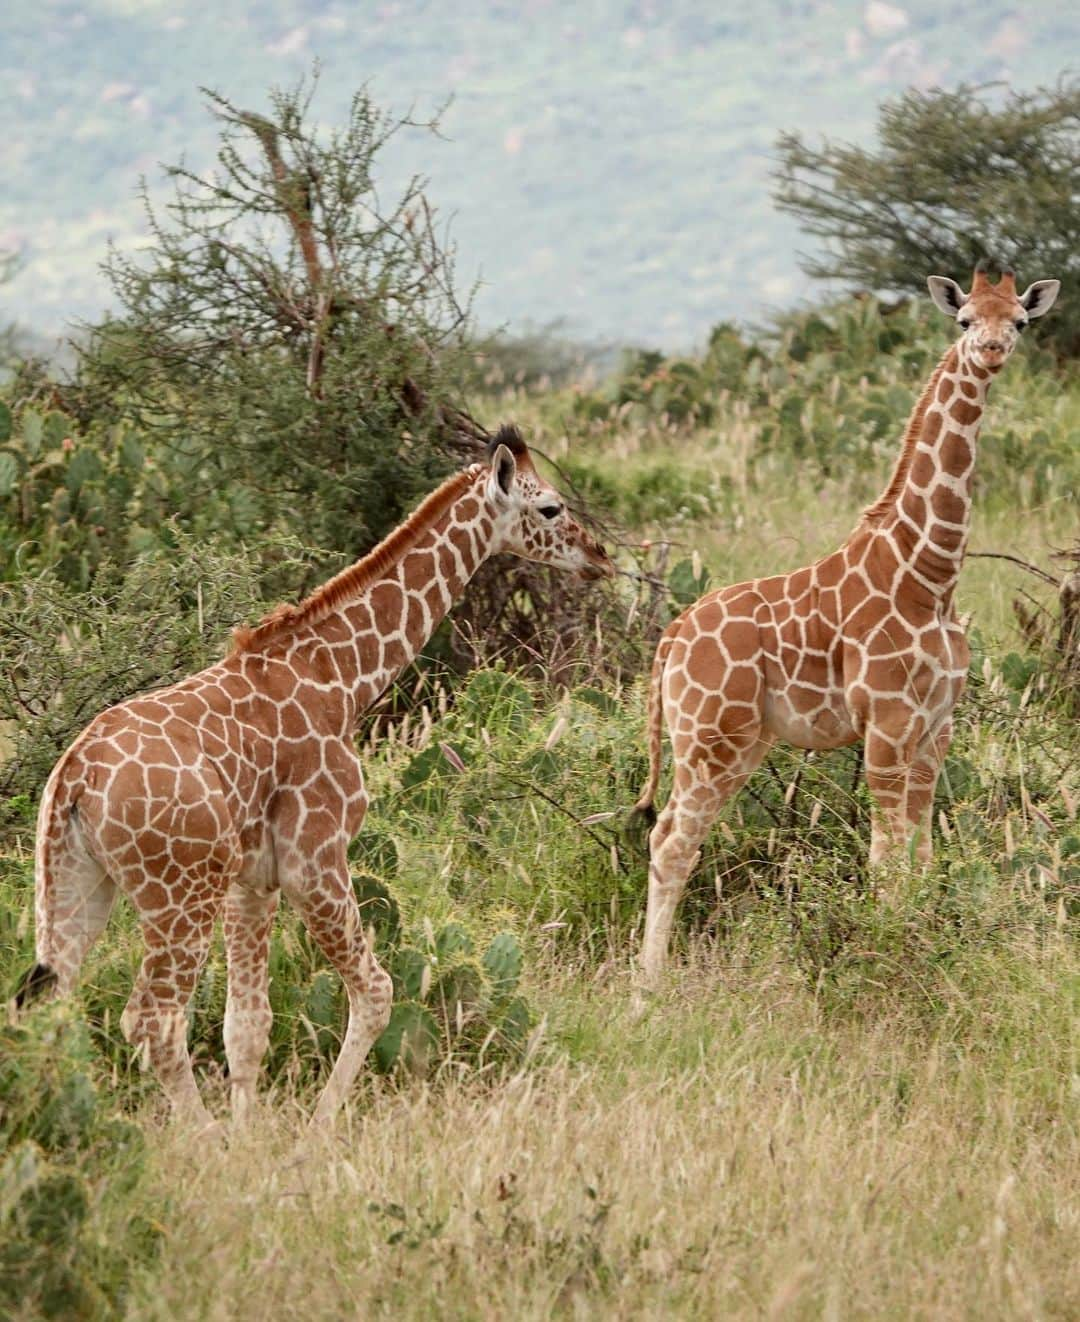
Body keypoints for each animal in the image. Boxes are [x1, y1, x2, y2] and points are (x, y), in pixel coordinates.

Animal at [16, 425, 610, 1126]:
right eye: (549, 507)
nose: (599, 555)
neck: (343, 680)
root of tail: (74, 780)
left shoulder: (252, 881)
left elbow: (246, 1026)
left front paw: (250, 1134)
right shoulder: (316, 857)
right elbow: (377, 991)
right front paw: (319, 1125)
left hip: (76, 883)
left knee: (50, 1005)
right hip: (177, 894)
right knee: (152, 1019)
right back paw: (200, 1137)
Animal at [637, 265, 1057, 983]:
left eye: (1020, 321)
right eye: (965, 318)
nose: (992, 350)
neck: (929, 576)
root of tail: (670, 638)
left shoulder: (936, 728)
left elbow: (921, 857)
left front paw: (920, 949)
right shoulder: (885, 725)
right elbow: (885, 861)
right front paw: (885, 959)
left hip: (744, 742)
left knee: (680, 839)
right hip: (707, 737)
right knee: (669, 841)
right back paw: (647, 989)